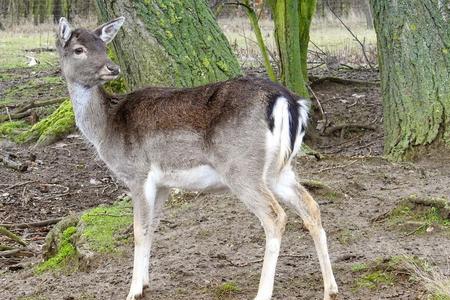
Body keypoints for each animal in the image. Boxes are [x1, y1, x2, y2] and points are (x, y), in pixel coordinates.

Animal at [55, 15, 338, 300]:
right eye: (80, 49)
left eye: (103, 46)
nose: (112, 68)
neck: (107, 129)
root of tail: (290, 102)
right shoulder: (163, 184)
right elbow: (153, 227)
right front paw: (145, 283)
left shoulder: (138, 174)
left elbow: (139, 230)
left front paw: (133, 291)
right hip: (280, 169)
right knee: (311, 207)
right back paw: (331, 289)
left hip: (241, 168)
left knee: (275, 216)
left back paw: (263, 293)